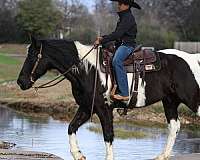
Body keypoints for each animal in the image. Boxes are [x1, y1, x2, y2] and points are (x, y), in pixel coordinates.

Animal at [17, 36, 200, 160]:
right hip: (170, 101)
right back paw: (163, 155)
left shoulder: (104, 108)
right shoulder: (86, 107)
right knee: (174, 126)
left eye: (32, 56)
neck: (88, 70)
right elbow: (71, 127)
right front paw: (78, 154)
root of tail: (193, 58)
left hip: (192, 100)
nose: (21, 81)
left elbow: (108, 134)